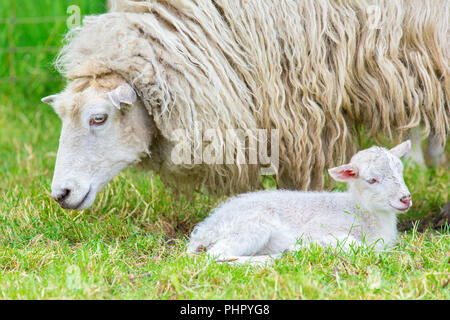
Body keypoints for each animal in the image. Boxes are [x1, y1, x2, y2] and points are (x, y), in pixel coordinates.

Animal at [185, 141, 412, 264]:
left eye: (400, 171)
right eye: (372, 180)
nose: (405, 198)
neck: (361, 211)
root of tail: (203, 231)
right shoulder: (321, 228)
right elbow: (356, 246)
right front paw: (301, 248)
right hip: (252, 226)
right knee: (217, 255)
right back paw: (272, 258)